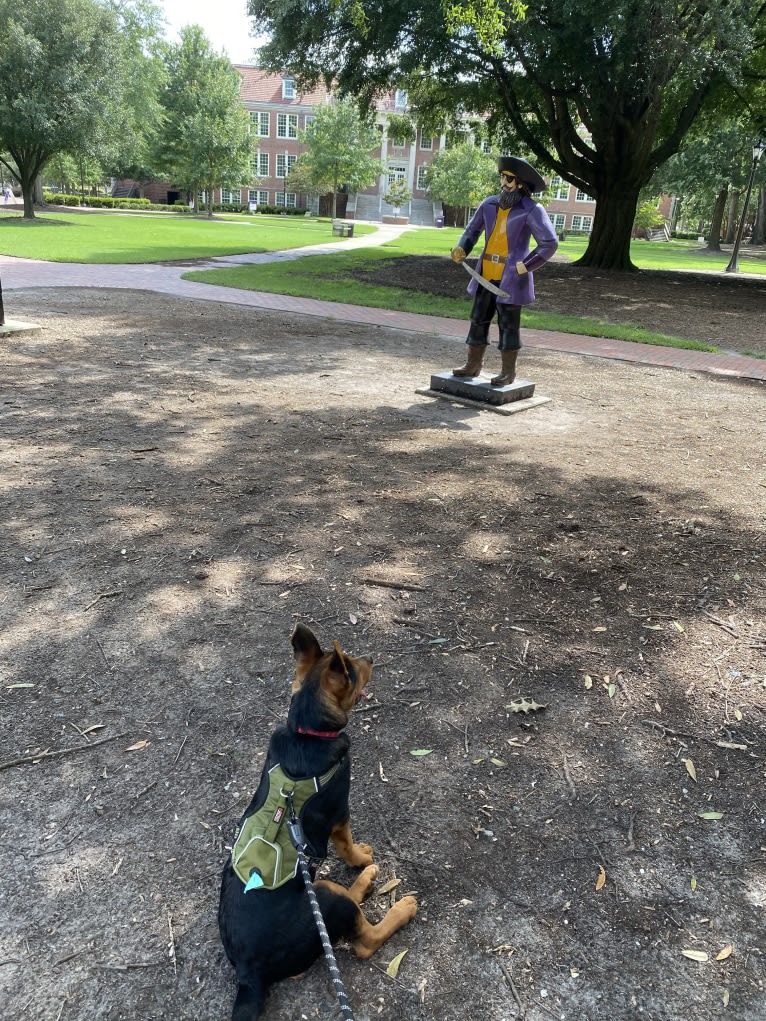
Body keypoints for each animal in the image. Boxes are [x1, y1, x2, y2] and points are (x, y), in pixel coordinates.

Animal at [216, 620, 420, 1021]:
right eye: (353, 669)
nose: (371, 657)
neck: (307, 731)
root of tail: (248, 973)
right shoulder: (340, 812)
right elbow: (347, 844)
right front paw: (360, 857)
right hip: (325, 899)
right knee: (365, 939)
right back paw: (398, 904)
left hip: (322, 893)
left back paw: (366, 882)